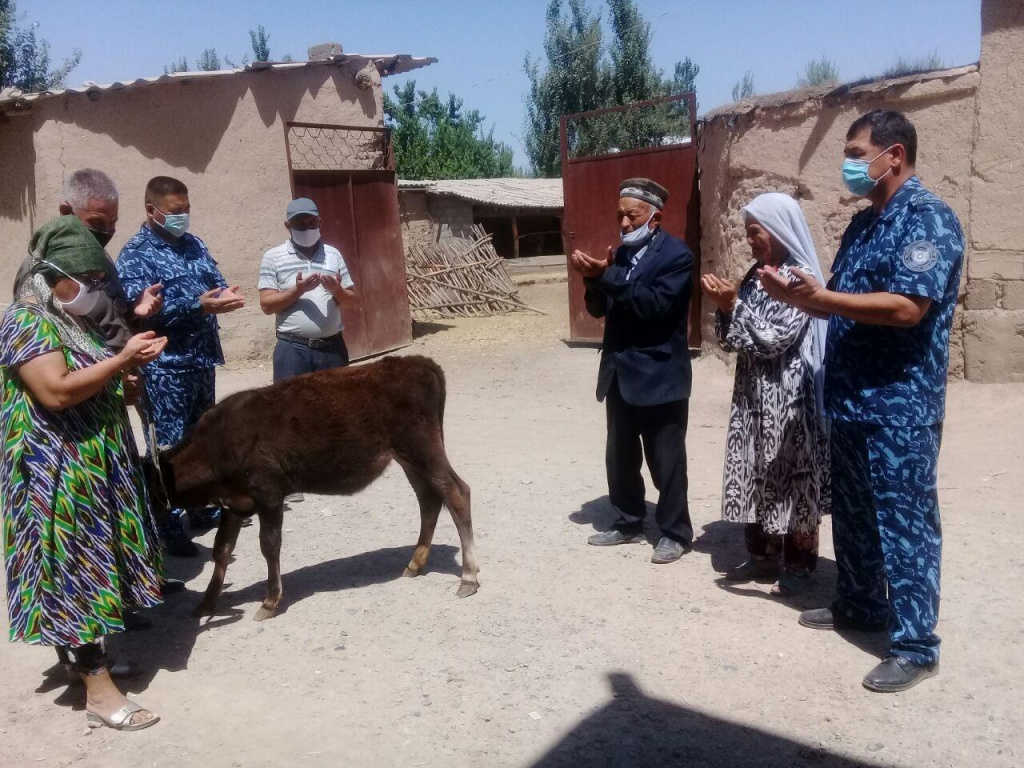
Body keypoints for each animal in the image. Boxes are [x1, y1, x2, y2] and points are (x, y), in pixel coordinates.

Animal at [152, 358, 479, 622]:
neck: (215, 445)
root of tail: (419, 362)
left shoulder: (268, 493)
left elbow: (269, 544)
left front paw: (270, 601)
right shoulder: (234, 502)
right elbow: (221, 549)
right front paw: (206, 603)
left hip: (422, 448)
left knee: (457, 493)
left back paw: (468, 577)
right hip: (408, 456)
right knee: (429, 499)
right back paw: (415, 563)